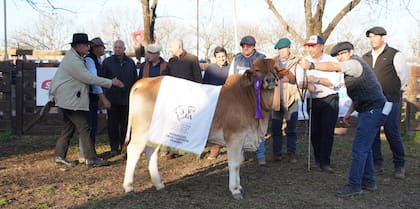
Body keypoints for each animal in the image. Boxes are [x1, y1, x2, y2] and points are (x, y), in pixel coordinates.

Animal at [122, 58, 292, 199]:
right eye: (257, 70)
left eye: (275, 68)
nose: (271, 80)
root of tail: (146, 81)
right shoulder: (234, 138)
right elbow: (234, 164)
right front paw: (235, 190)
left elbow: (238, 164)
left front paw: (239, 187)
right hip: (142, 129)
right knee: (134, 150)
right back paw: (129, 187)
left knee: (150, 152)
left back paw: (159, 184)